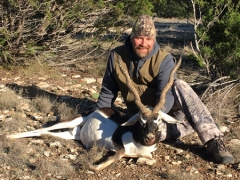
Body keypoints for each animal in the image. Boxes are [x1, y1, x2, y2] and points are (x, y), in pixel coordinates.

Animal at [7, 55, 183, 172]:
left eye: (159, 121)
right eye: (141, 120)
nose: (150, 138)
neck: (139, 141)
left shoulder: (147, 152)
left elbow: (147, 156)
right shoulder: (118, 144)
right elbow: (116, 156)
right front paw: (92, 164)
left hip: (71, 134)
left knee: (47, 133)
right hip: (72, 120)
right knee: (42, 129)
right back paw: (9, 136)